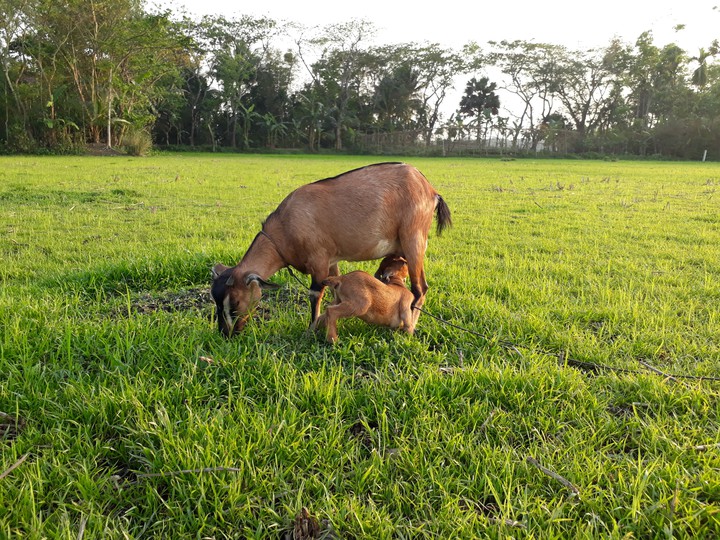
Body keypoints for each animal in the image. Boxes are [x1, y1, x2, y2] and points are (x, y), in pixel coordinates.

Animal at [210, 162, 451, 337]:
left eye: (235, 303)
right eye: (216, 302)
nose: (226, 334)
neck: (285, 228)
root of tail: (431, 190)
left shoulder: (318, 260)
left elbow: (315, 295)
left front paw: (310, 331)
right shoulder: (332, 260)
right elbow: (336, 289)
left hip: (414, 240)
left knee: (420, 289)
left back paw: (409, 328)